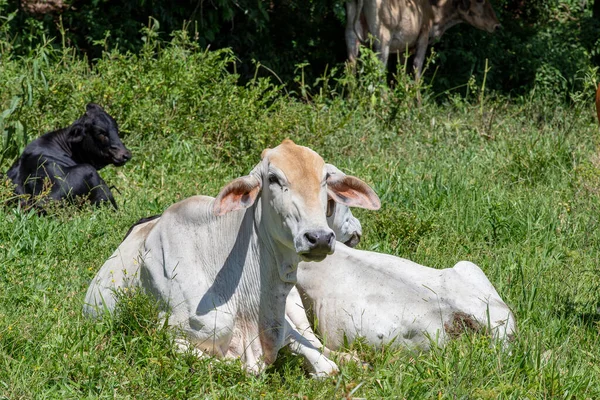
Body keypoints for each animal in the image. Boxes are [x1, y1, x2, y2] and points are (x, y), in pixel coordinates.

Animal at [84, 140, 380, 376]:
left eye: (325, 180)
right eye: (273, 178)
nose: (319, 238)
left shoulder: (280, 322)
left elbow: (323, 364)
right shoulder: (168, 333)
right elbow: (239, 367)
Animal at [344, 0, 500, 78]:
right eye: (481, 0)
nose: (497, 25)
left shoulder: (403, 47)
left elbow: (401, 73)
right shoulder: (423, 36)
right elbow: (417, 68)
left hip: (350, 35)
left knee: (351, 67)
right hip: (382, 38)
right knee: (379, 71)